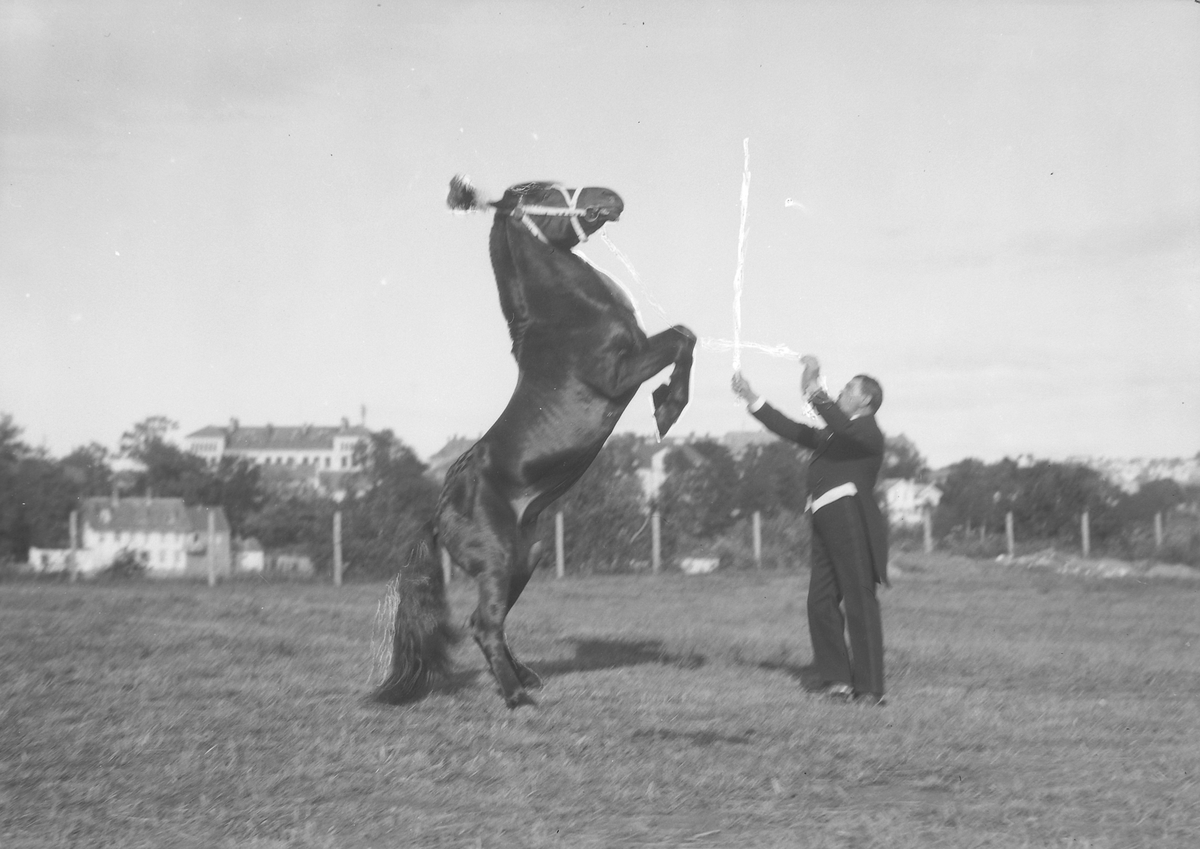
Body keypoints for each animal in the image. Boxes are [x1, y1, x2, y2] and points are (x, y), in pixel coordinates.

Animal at [374, 178, 696, 709]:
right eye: (544, 193)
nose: (611, 196)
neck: (570, 315)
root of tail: (438, 517)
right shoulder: (620, 373)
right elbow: (682, 338)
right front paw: (667, 408)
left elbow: (686, 336)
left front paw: (667, 403)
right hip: (500, 560)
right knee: (483, 625)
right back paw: (516, 697)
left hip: (527, 557)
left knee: (489, 622)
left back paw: (525, 678)